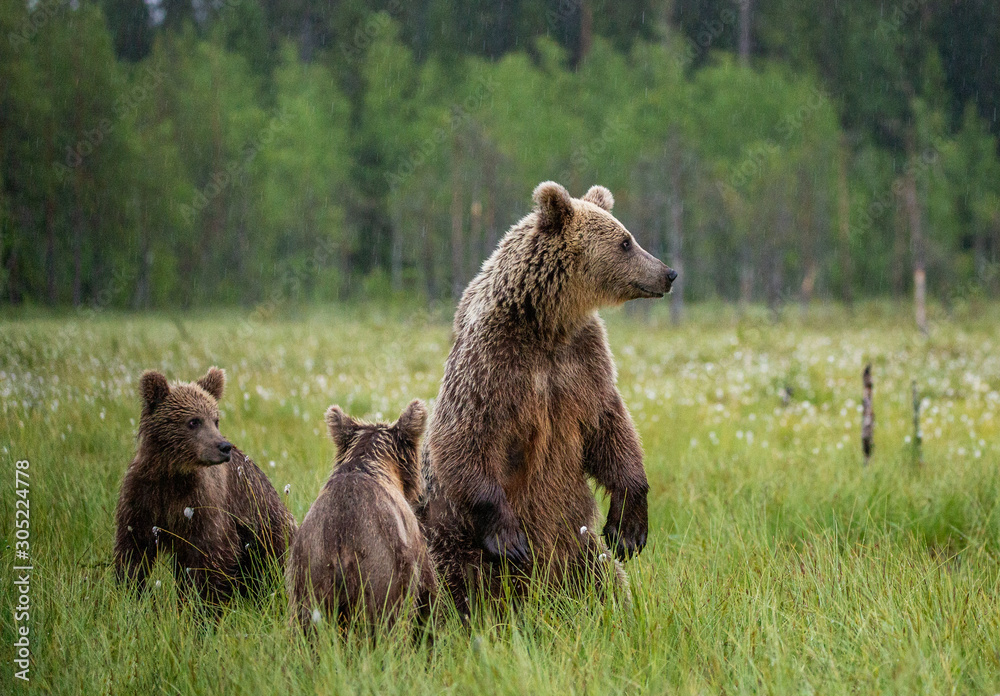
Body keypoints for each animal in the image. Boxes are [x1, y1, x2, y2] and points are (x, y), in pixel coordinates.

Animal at [114, 367, 297, 606]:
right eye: (194, 421)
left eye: (215, 420)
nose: (224, 446)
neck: (172, 474)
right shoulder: (143, 497)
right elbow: (133, 550)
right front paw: (130, 595)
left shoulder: (203, 504)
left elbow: (210, 556)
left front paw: (202, 607)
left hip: (268, 530)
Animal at [418, 182, 676, 616]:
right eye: (626, 242)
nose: (668, 273)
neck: (547, 324)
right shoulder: (493, 362)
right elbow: (465, 433)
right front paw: (510, 539)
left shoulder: (583, 364)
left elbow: (611, 427)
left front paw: (629, 529)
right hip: (451, 541)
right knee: (449, 582)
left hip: (576, 539)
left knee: (602, 574)